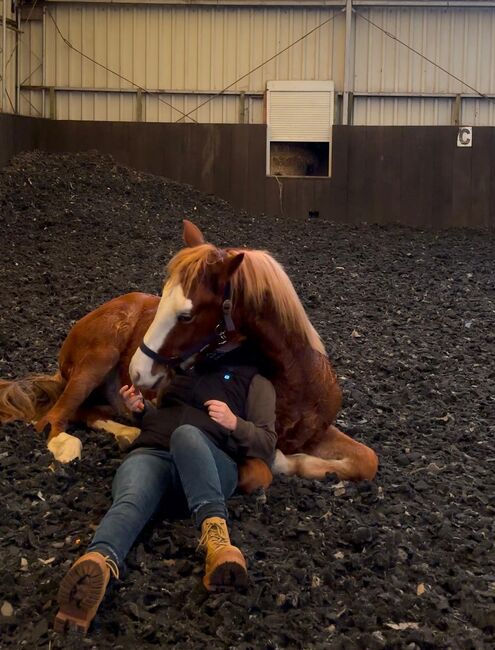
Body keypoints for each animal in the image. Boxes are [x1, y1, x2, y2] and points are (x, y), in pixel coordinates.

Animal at [0, 219, 378, 486]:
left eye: (186, 316)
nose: (137, 372)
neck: (295, 381)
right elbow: (261, 469)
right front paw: (283, 461)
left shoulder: (318, 432)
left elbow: (367, 459)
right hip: (97, 360)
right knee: (53, 418)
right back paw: (73, 444)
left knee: (87, 411)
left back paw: (126, 431)